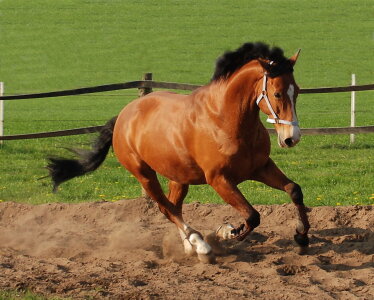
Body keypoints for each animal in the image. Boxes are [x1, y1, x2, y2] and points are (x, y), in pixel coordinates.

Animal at [47, 41, 310, 262]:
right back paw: (200, 246)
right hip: (144, 174)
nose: (291, 138)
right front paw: (224, 233)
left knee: (175, 206)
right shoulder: (219, 179)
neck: (225, 120)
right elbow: (252, 216)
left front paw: (302, 237)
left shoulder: (260, 167)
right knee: (166, 208)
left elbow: (294, 190)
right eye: (277, 93)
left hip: (179, 177)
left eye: (296, 91)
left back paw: (189, 247)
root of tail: (123, 115)